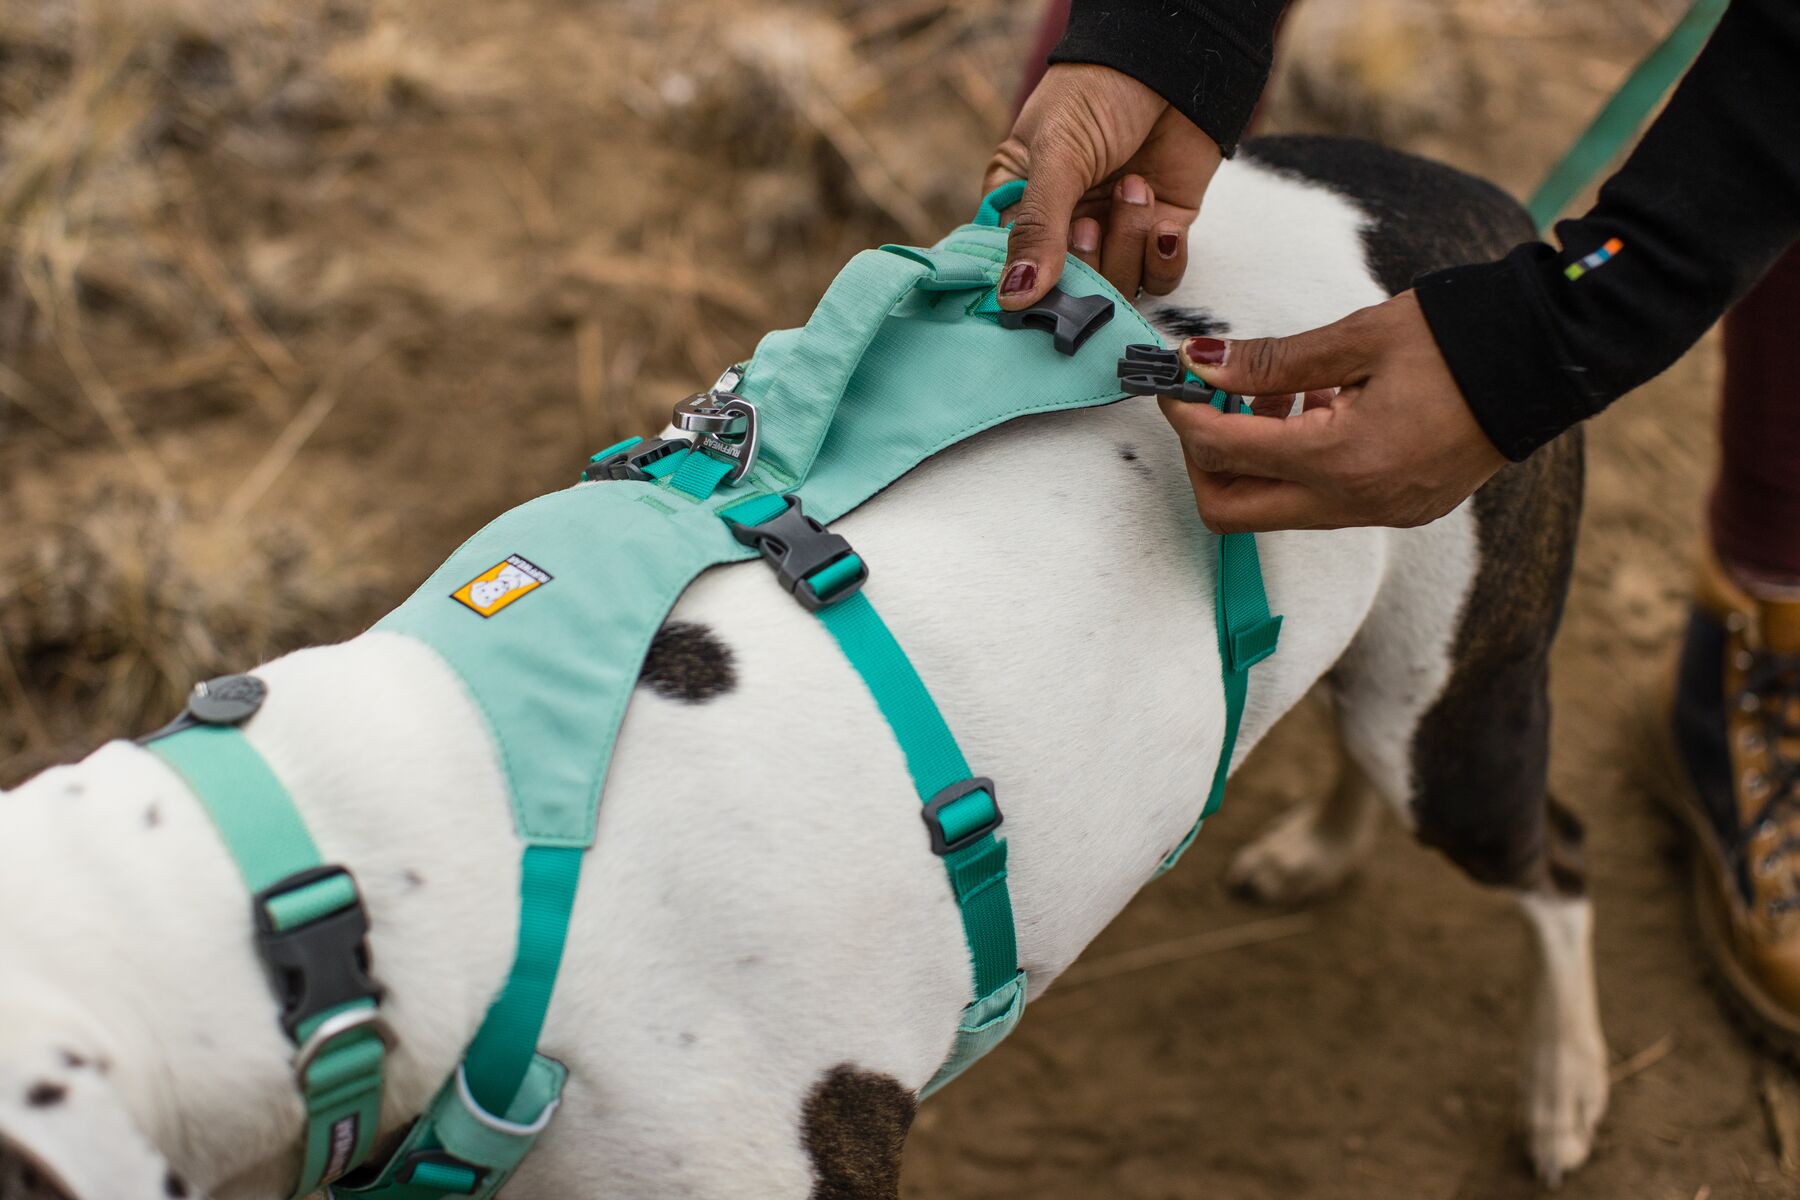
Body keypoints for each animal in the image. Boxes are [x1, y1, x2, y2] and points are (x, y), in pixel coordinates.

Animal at [0, 134, 1605, 1200]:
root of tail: (1476, 205)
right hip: (1391, 675)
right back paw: (1321, 846)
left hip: (1461, 718)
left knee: (1554, 856)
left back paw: (1566, 1082)